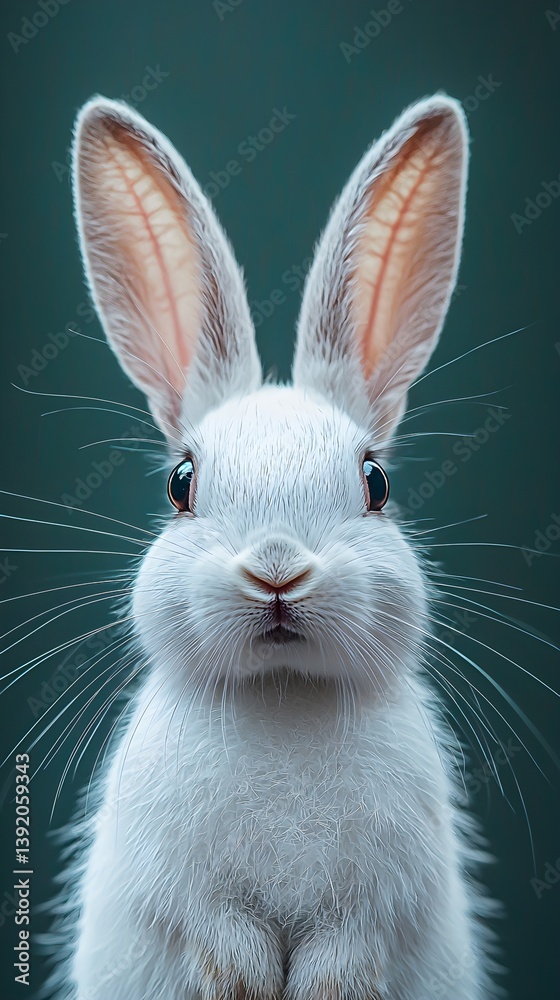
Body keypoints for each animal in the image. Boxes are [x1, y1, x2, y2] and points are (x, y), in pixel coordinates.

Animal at [51, 93, 500, 1000]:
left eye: (376, 482)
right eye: (181, 483)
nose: (277, 571)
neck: (283, 692)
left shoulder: (374, 906)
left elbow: (343, 956)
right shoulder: (186, 895)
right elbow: (223, 943)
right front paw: (244, 982)